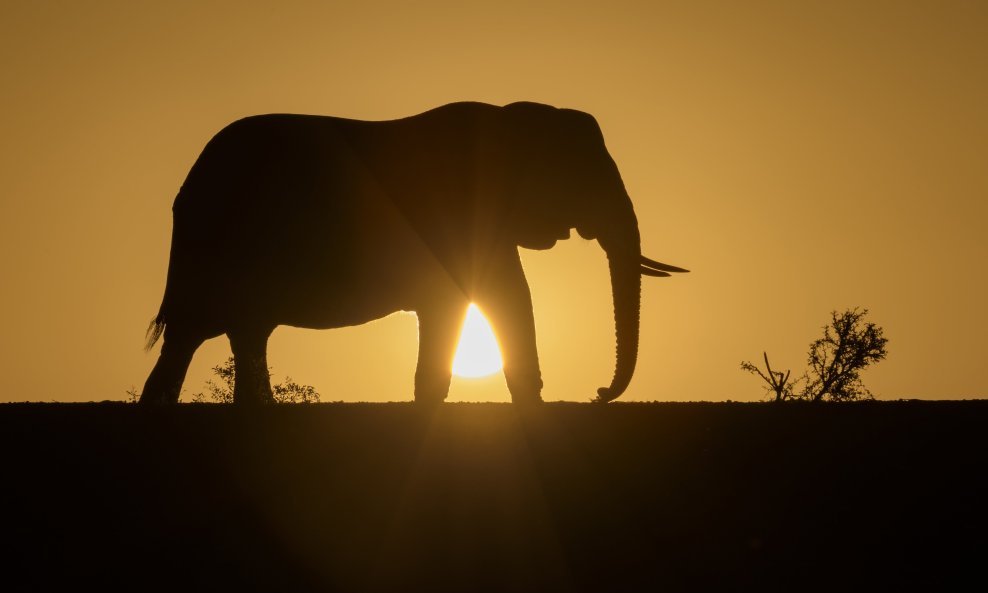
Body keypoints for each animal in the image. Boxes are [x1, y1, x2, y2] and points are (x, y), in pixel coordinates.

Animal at [139, 103, 688, 408]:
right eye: (584, 178)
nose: (598, 393)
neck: (512, 118)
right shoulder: (456, 215)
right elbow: (490, 299)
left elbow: (505, 297)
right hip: (224, 241)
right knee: (213, 329)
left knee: (218, 334)